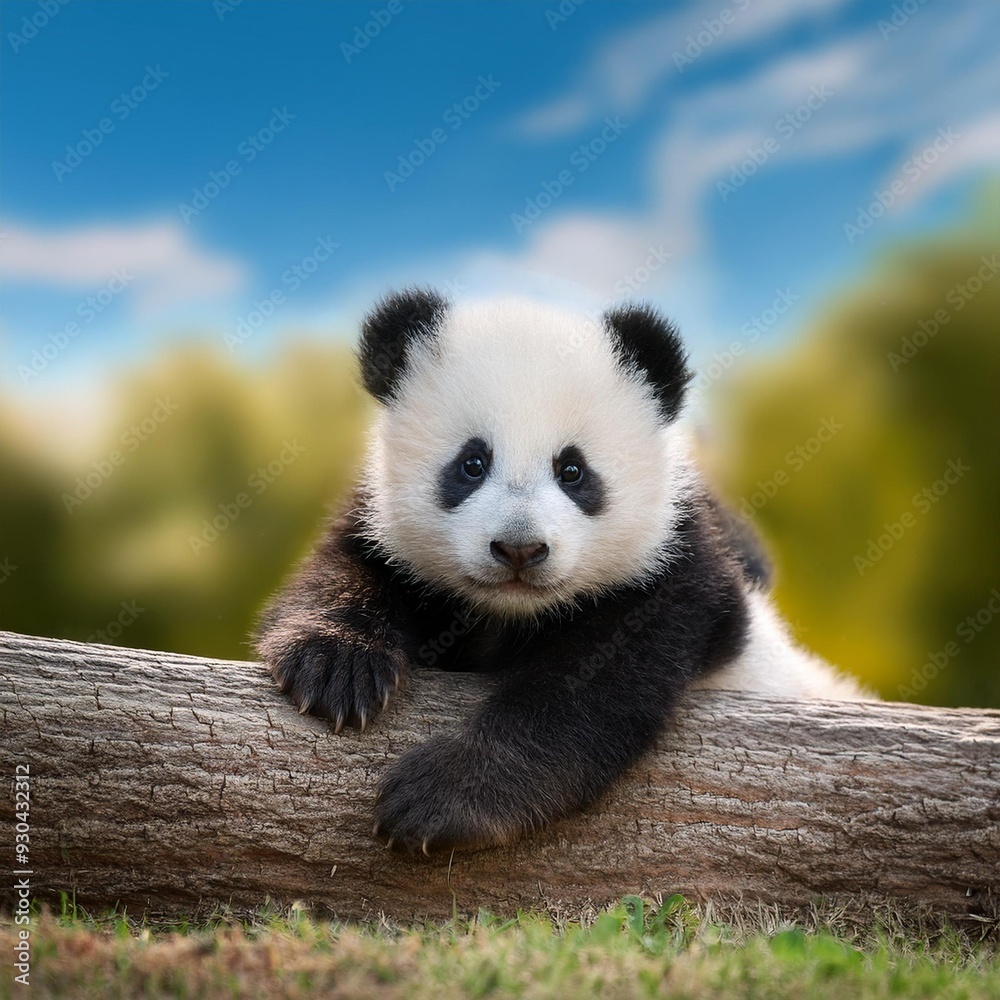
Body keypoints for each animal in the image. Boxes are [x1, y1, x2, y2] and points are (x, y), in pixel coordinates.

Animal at [256, 288, 867, 854]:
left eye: (572, 471)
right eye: (472, 464)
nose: (519, 549)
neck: (509, 613)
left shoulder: (672, 579)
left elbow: (587, 692)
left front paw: (440, 800)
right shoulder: (378, 526)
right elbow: (341, 572)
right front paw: (337, 668)